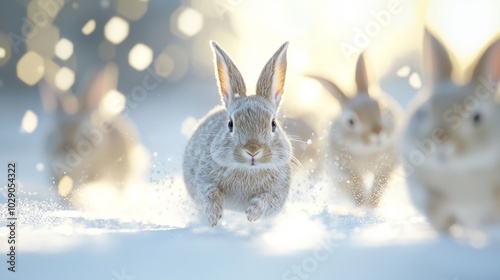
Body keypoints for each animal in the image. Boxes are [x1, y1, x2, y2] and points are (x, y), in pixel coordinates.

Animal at [184, 41, 292, 225]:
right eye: (230, 124)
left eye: (273, 124)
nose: (252, 150)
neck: (247, 170)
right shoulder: (203, 181)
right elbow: (208, 193)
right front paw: (214, 216)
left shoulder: (278, 194)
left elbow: (268, 201)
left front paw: (252, 213)